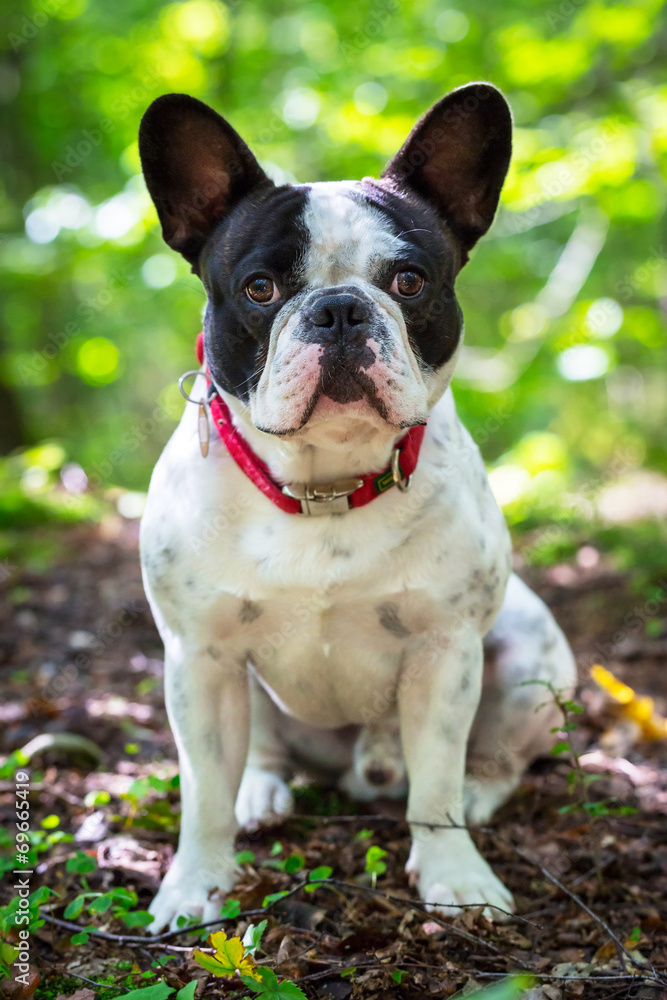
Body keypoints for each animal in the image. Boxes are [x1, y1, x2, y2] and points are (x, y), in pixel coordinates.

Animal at [138, 84, 576, 928]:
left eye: (408, 281)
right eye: (260, 288)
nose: (339, 309)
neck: (323, 486)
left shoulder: (445, 654)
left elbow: (433, 784)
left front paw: (455, 878)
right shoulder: (199, 658)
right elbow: (202, 791)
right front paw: (194, 884)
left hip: (528, 660)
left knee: (491, 760)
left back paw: (475, 793)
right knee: (258, 753)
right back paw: (260, 793)